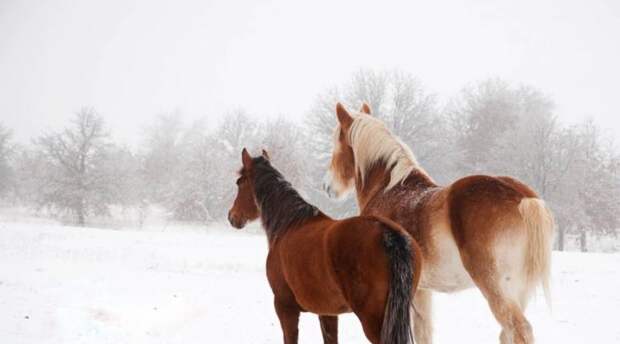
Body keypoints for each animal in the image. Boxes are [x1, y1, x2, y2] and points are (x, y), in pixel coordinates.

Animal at [230, 149, 424, 344]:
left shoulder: (285, 307)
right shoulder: (327, 313)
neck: (289, 225)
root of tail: (388, 233)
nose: (232, 216)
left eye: (239, 182)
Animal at [322, 103, 556, 344]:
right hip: (519, 290)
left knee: (519, 328)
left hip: (495, 286)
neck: (388, 190)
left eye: (337, 143)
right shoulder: (421, 291)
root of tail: (522, 197)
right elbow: (424, 332)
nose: (327, 186)